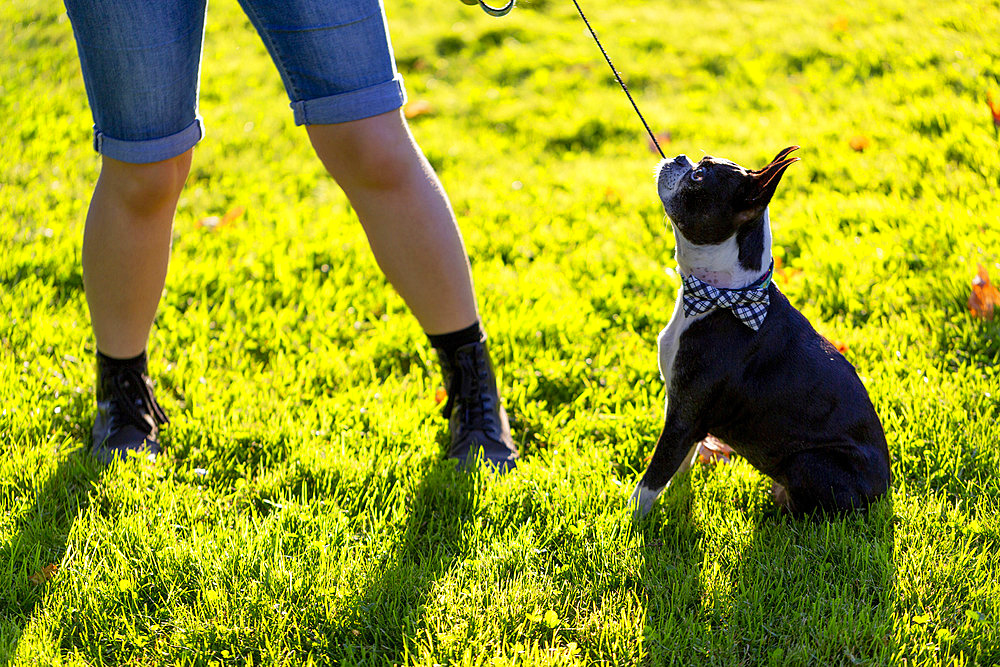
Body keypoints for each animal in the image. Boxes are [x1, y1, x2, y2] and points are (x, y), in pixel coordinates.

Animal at [632, 147, 892, 516]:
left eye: (698, 177)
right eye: (697, 163)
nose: (681, 158)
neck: (723, 295)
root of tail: (883, 492)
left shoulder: (685, 415)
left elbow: (652, 478)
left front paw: (629, 523)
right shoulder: (683, 411)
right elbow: (679, 465)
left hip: (807, 461)